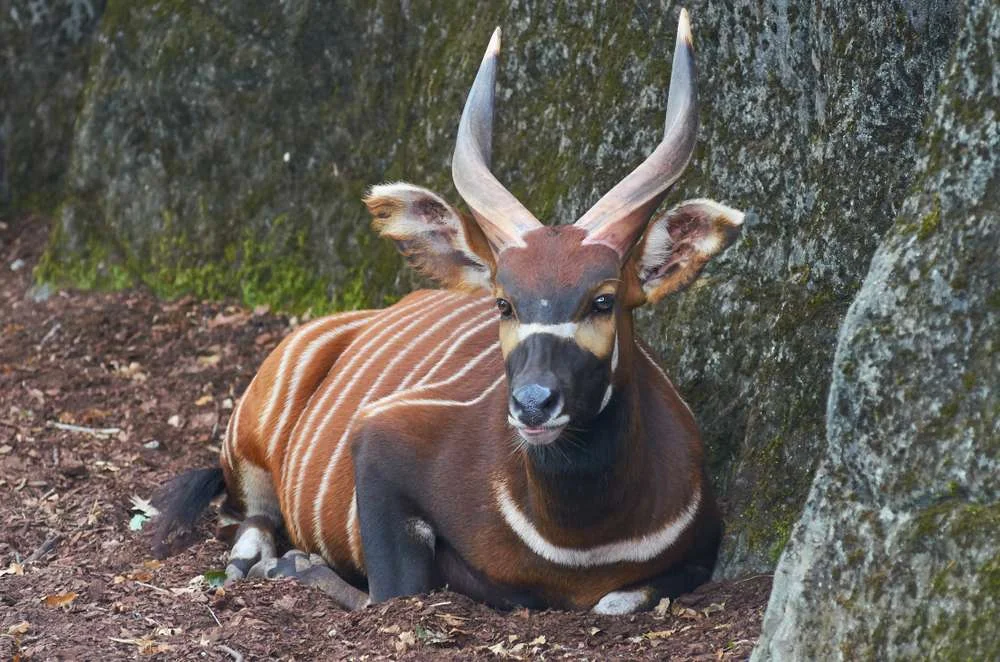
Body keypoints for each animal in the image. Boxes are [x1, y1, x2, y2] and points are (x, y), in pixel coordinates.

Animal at [152, 9, 744, 615]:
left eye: (604, 299)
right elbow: (392, 590)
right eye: (504, 302)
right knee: (248, 520)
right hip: (248, 438)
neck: (580, 545)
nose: (533, 405)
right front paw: (296, 565)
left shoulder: (699, 551)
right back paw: (255, 560)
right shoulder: (379, 438)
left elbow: (615, 601)